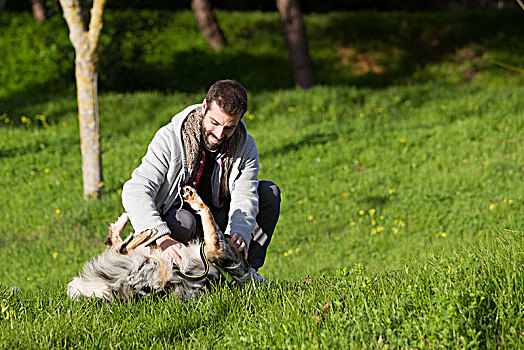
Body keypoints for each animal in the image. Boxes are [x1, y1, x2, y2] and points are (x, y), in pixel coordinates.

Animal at [67, 187, 252, 302]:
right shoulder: (217, 251)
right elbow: (208, 217)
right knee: (120, 245)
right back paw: (144, 230)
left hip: (144, 265)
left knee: (120, 246)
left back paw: (142, 230)